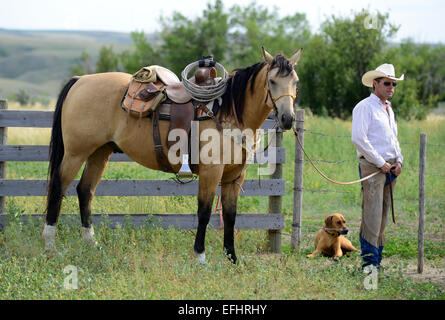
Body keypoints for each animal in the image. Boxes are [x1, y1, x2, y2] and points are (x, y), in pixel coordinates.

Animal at [43, 47, 302, 262]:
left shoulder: (234, 176)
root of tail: (80, 81)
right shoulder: (211, 172)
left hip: (99, 153)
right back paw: (50, 246)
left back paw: (91, 243)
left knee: (85, 190)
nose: (287, 119)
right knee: (58, 187)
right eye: (272, 81)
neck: (228, 112)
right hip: (75, 153)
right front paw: (200, 256)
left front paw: (232, 259)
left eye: (295, 82)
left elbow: (230, 216)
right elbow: (204, 213)